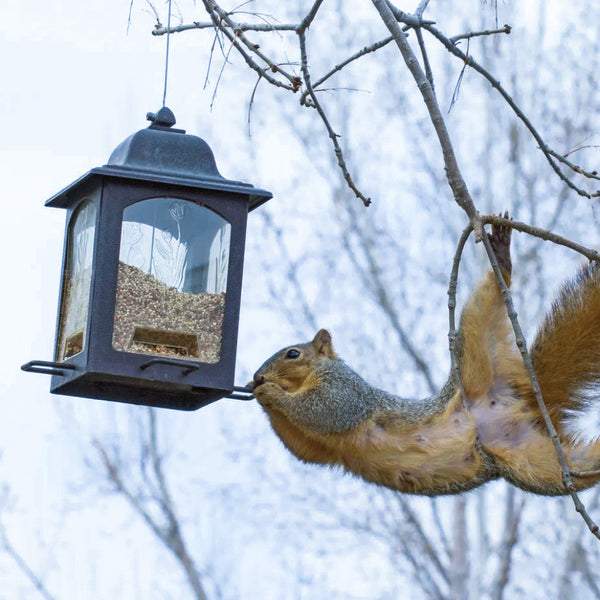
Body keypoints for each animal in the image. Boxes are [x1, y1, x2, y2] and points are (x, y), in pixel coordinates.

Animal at [250, 223, 600, 494]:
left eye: (293, 354)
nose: (257, 376)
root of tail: (526, 401)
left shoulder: (347, 392)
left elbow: (324, 411)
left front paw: (270, 393)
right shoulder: (323, 449)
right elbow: (303, 448)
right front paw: (261, 394)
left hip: (473, 347)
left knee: (484, 304)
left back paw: (501, 258)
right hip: (537, 466)